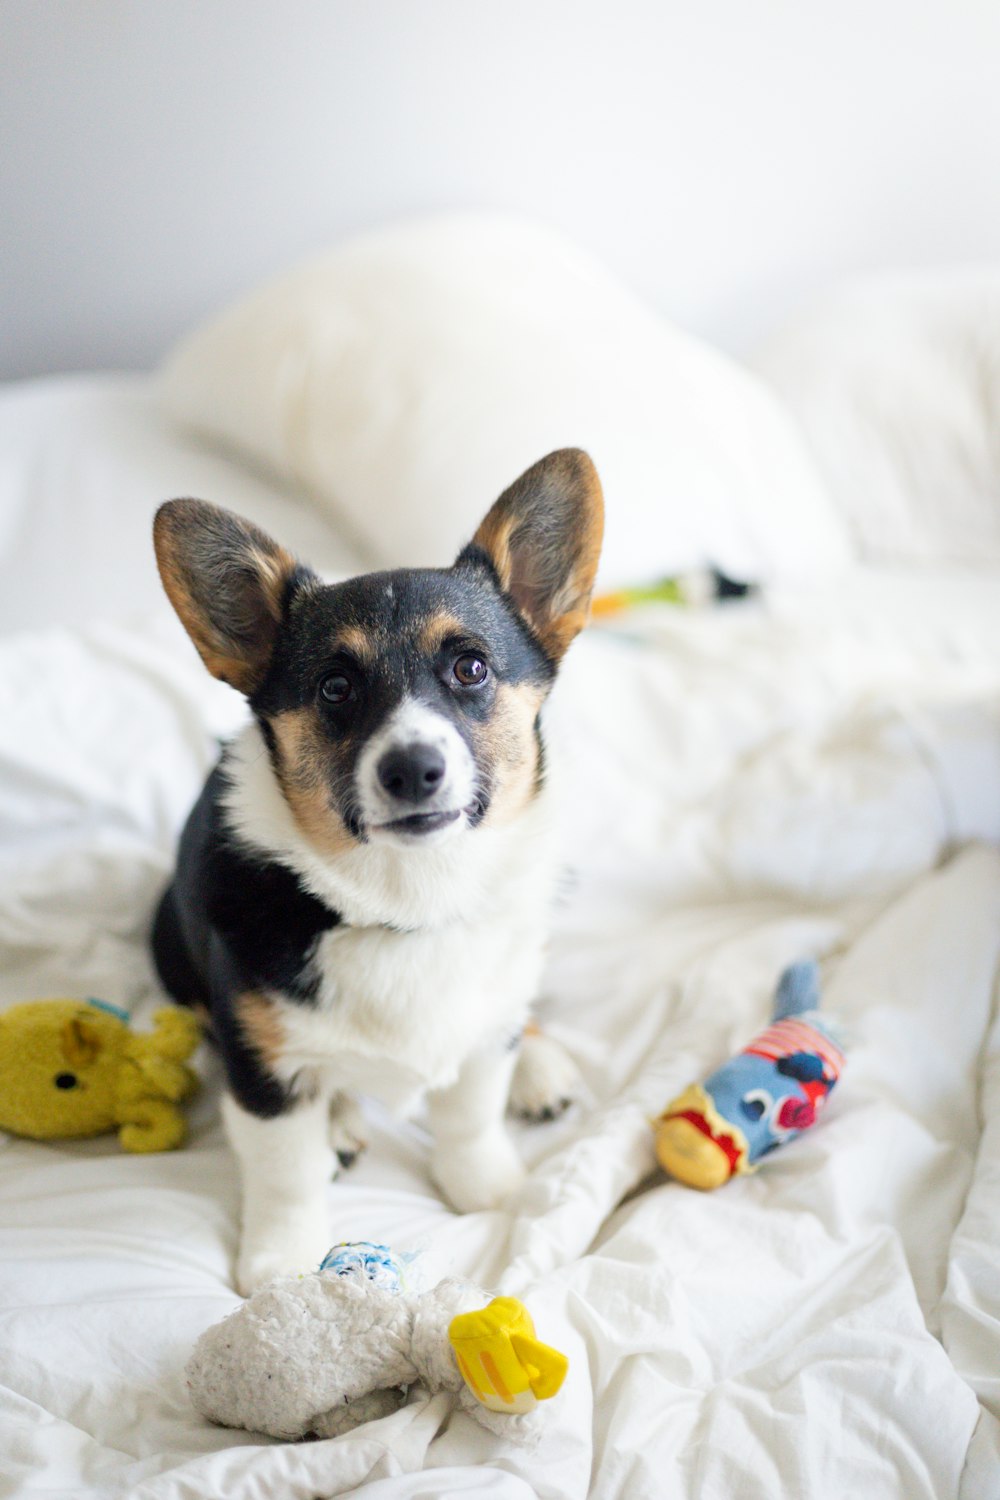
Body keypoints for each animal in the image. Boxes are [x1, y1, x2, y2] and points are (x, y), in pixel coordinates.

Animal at [148, 441, 602, 1290]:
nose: (413, 769)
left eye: (471, 669)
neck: (406, 904)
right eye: (335, 687)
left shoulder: (479, 1041)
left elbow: (469, 1116)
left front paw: (491, 1191)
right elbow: (285, 1171)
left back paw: (540, 1067)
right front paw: (283, 1262)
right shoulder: (261, 1070)